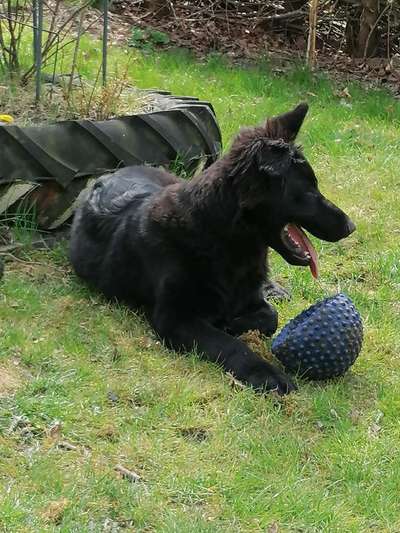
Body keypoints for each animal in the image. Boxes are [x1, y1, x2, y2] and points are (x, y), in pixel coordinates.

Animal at [70, 105, 354, 394]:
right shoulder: (175, 318)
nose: (351, 227)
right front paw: (265, 372)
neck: (223, 241)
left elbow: (270, 317)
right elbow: (230, 344)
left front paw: (235, 320)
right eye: (309, 190)